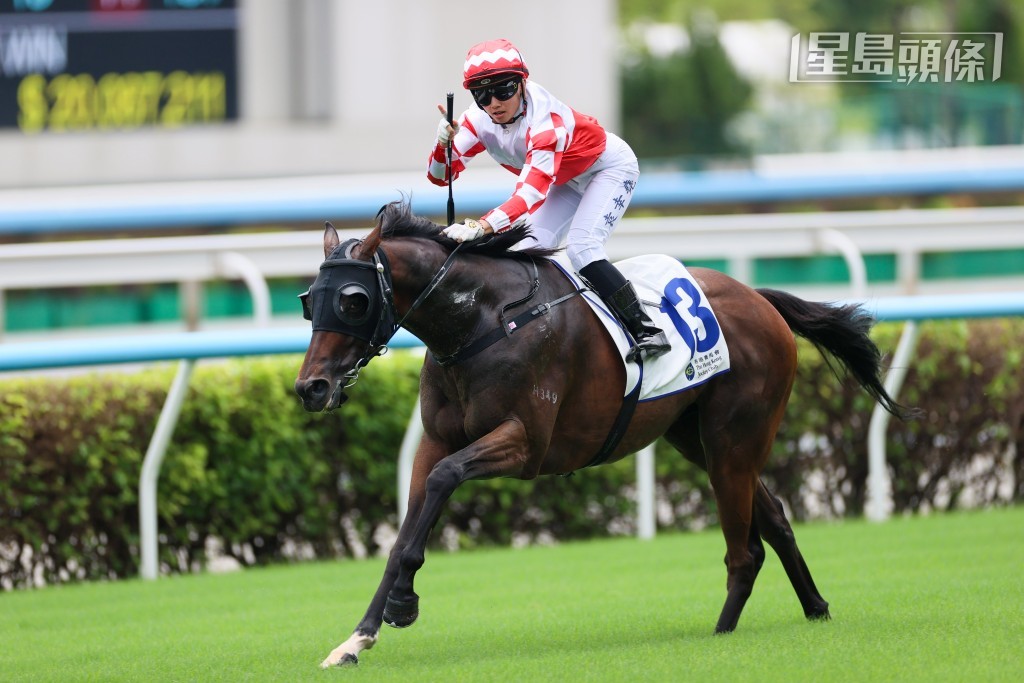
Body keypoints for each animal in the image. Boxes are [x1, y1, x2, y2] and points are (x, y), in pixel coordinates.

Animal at [294, 200, 911, 667]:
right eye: (307, 302)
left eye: (353, 300)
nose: (311, 388)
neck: (481, 320)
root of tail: (762, 299)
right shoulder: (433, 442)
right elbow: (405, 531)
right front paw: (358, 637)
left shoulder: (526, 444)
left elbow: (446, 480)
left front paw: (403, 604)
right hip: (699, 440)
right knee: (776, 519)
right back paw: (816, 607)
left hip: (734, 440)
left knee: (746, 549)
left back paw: (721, 635)